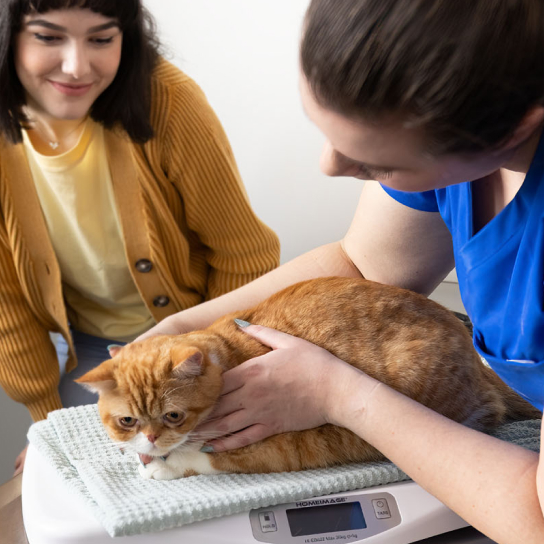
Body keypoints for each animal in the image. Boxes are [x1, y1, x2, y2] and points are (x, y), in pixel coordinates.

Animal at [76, 278, 540, 478]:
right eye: (127, 421)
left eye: (173, 416)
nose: (152, 438)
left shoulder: (285, 446)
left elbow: (210, 459)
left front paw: (166, 465)